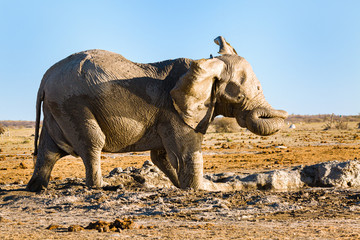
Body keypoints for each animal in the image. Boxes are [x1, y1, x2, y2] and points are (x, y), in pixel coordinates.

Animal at [26, 36, 288, 192]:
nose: (287, 113)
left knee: (48, 151)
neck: (202, 65)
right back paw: (104, 187)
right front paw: (204, 188)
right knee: (92, 143)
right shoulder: (175, 112)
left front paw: (184, 186)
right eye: (247, 91)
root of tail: (45, 78)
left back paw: (36, 188)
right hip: (74, 106)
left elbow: (161, 156)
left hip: (57, 108)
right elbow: (185, 155)